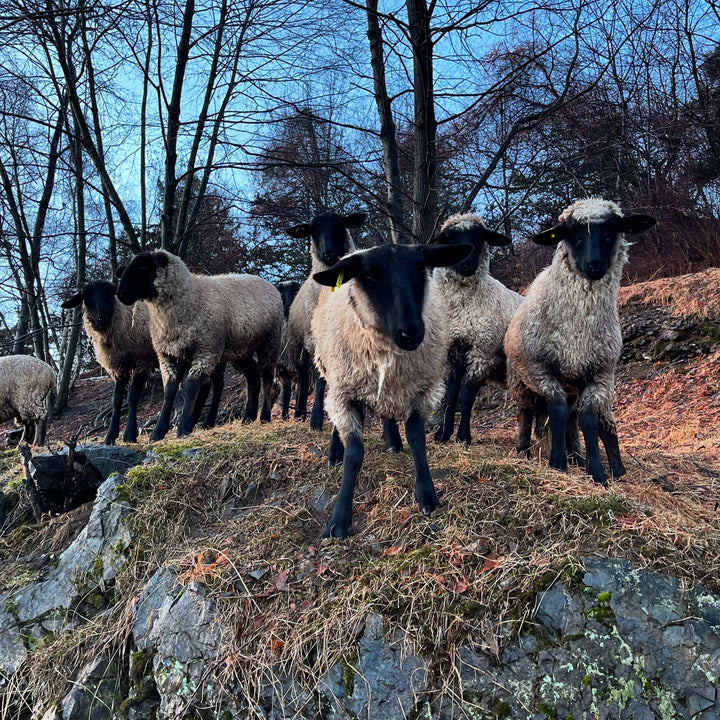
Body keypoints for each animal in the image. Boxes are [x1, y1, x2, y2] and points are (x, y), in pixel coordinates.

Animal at [116, 249, 282, 438]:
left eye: (143, 267)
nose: (120, 294)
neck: (192, 296)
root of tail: (267, 283)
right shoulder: (168, 355)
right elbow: (170, 391)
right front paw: (158, 431)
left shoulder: (205, 351)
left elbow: (191, 387)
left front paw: (183, 428)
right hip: (240, 349)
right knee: (253, 375)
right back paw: (248, 417)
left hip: (270, 341)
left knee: (267, 376)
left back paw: (264, 416)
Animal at [284, 211, 366, 430]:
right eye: (313, 231)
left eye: (340, 225)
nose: (329, 254)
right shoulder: (317, 340)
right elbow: (320, 379)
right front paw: (316, 419)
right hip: (299, 343)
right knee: (304, 375)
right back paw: (300, 412)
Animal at [310, 242, 472, 540]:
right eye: (369, 274)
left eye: (420, 267)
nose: (411, 332)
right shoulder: (346, 392)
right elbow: (354, 455)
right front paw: (339, 520)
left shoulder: (424, 389)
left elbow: (417, 438)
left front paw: (427, 496)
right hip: (331, 375)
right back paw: (334, 452)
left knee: (388, 411)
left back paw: (393, 441)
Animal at [430, 211, 520, 442]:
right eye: (449, 239)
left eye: (480, 237)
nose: (467, 263)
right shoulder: (451, 352)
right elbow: (452, 394)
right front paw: (443, 435)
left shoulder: (482, 352)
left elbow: (467, 396)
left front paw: (463, 437)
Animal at [504, 198, 656, 484]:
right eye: (573, 234)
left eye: (613, 230)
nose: (595, 264)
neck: (578, 331)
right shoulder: (543, 370)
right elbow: (557, 412)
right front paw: (557, 464)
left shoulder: (599, 374)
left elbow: (588, 421)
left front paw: (597, 472)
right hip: (521, 381)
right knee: (527, 414)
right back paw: (524, 451)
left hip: (575, 385)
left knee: (577, 422)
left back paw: (581, 458)